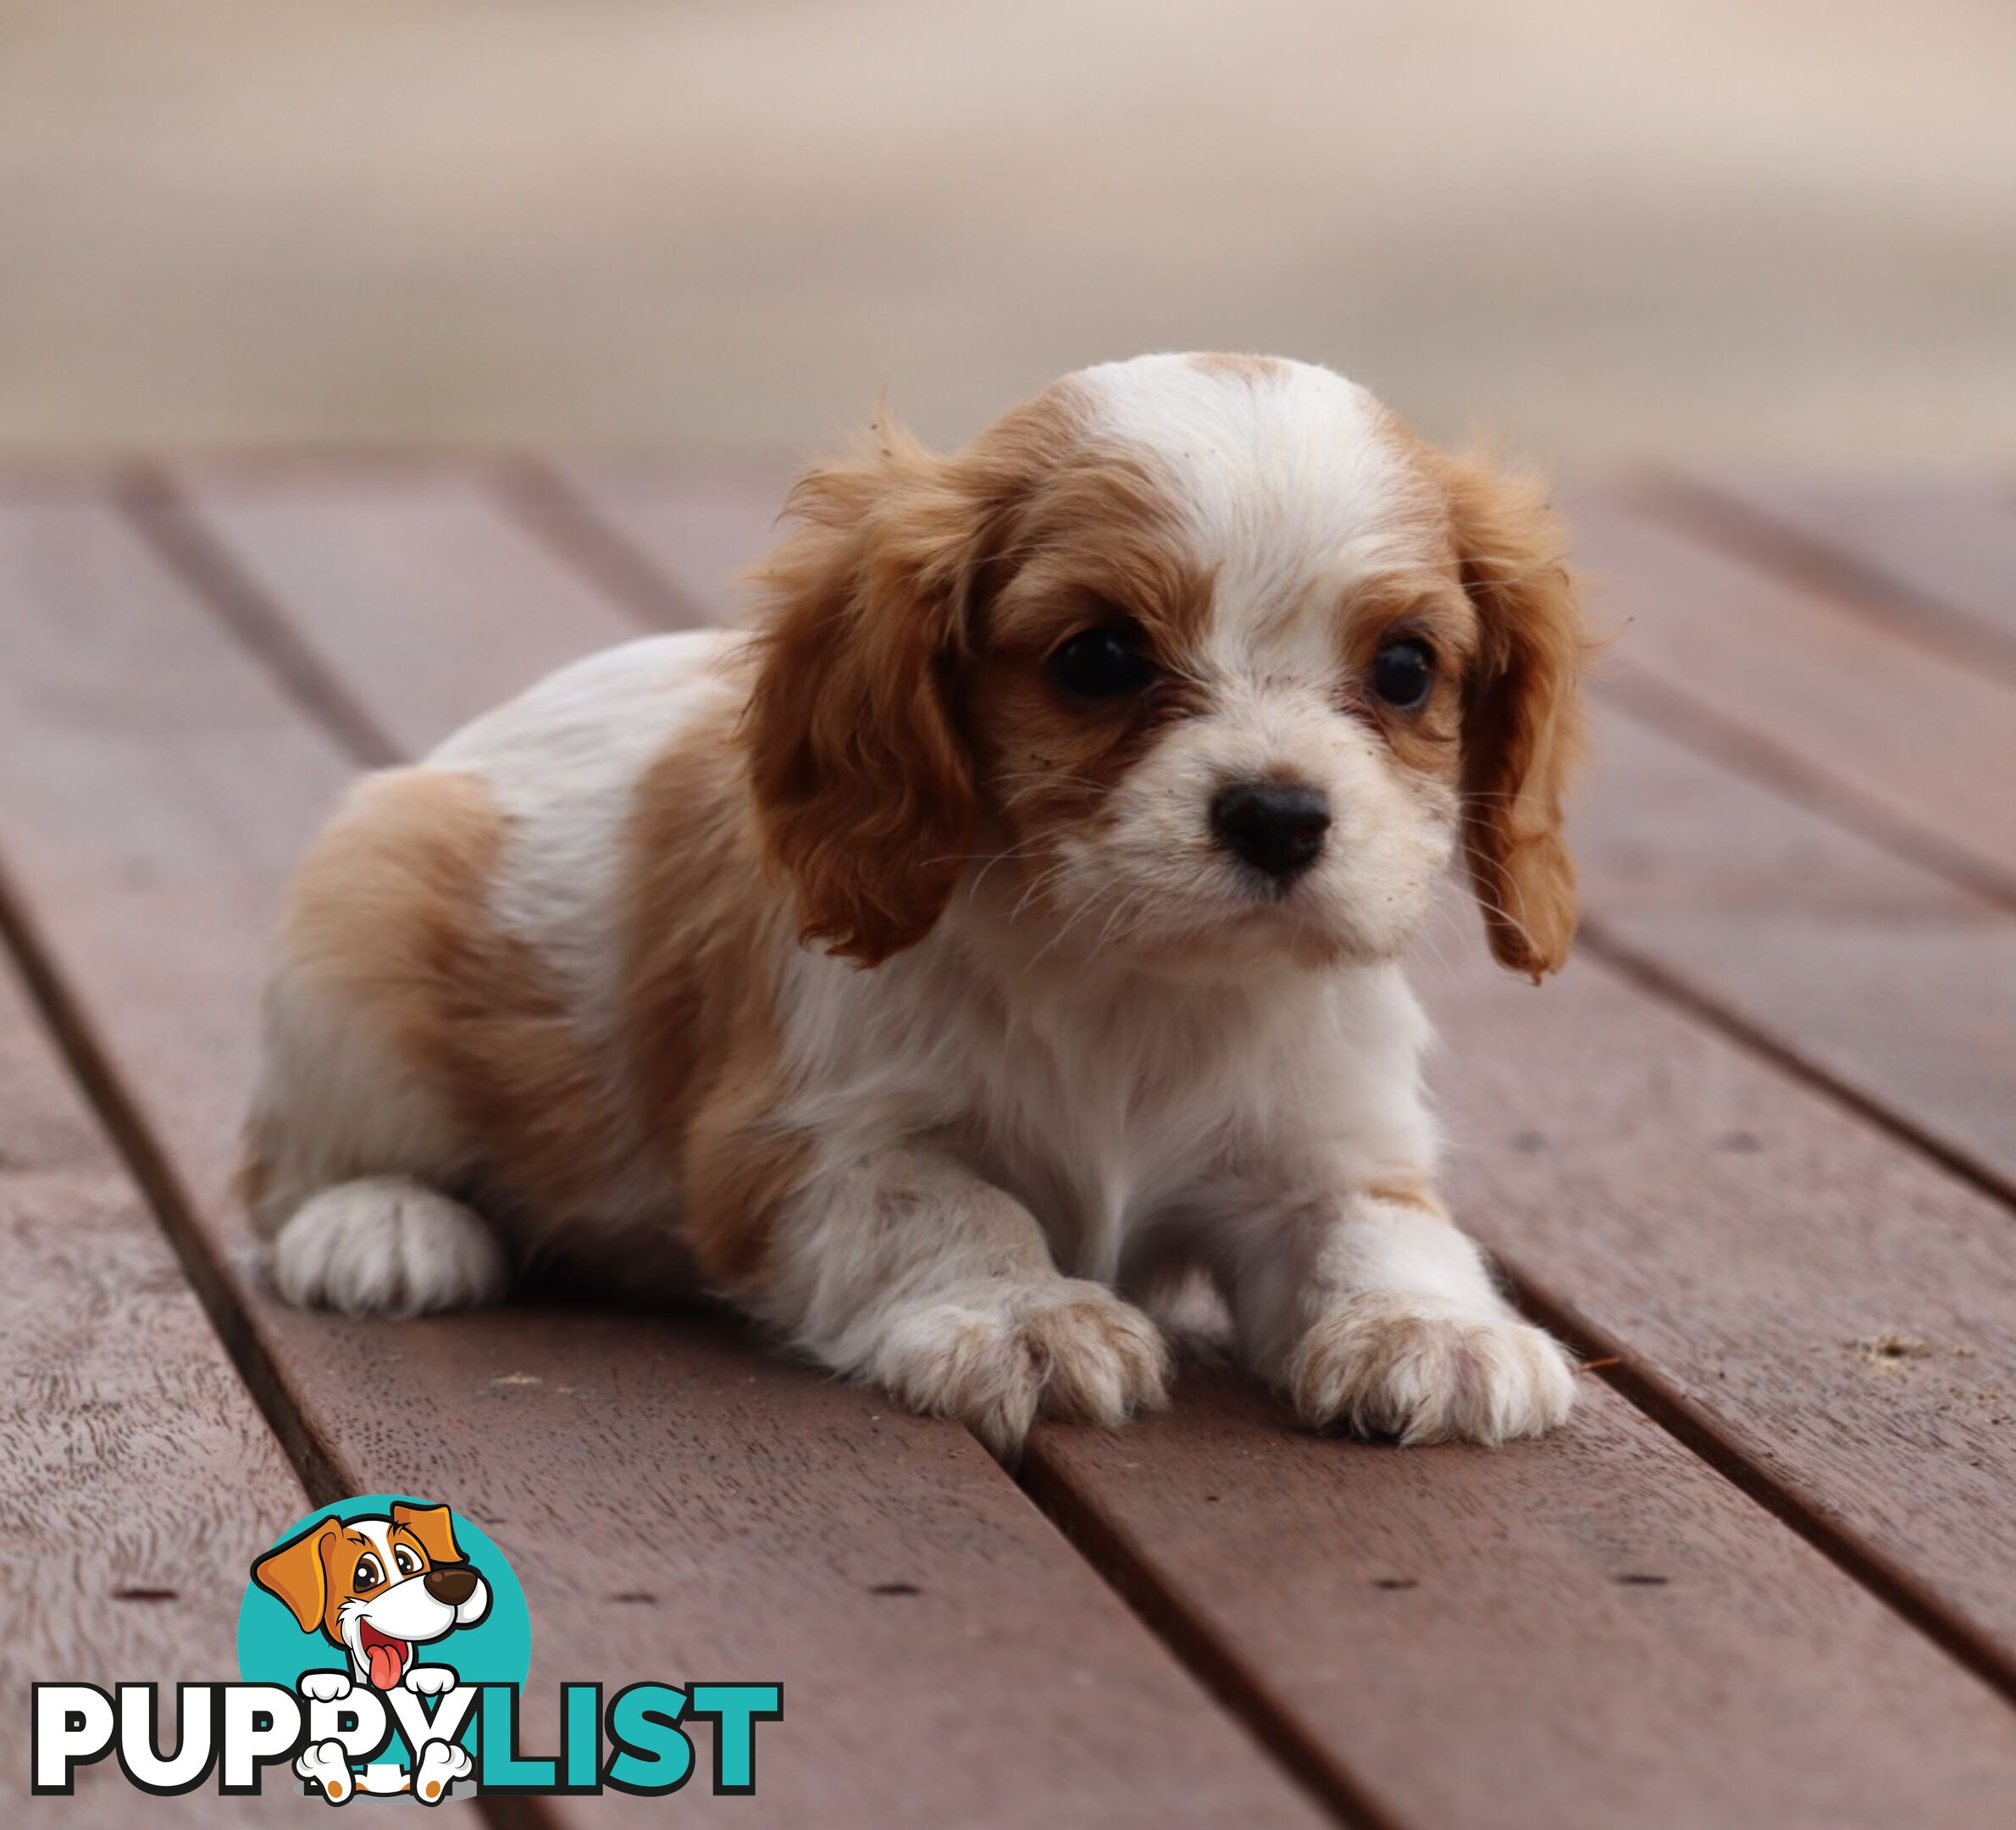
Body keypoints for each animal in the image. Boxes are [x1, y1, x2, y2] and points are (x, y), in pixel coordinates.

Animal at [240, 350, 1588, 1450]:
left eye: (1405, 668)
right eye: (1100, 658)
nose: (1278, 814)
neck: (1137, 982)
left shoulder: (1329, 1143)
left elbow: (1382, 1226)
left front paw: (1432, 1330)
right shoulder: (796, 1147)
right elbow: (950, 1204)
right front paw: (1028, 1317)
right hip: (361, 920)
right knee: (291, 1174)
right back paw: (383, 1226)